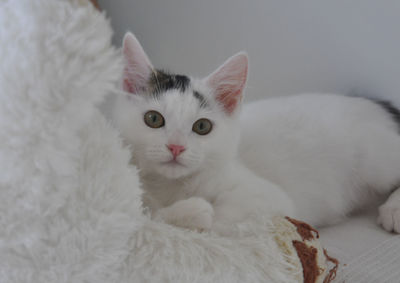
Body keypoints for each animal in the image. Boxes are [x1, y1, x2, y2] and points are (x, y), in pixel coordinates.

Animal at [112, 33, 294, 233]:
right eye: (153, 118)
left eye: (202, 126)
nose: (176, 147)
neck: (170, 186)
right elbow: (145, 216)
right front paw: (188, 211)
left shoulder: (273, 199)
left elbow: (230, 217)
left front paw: (198, 214)